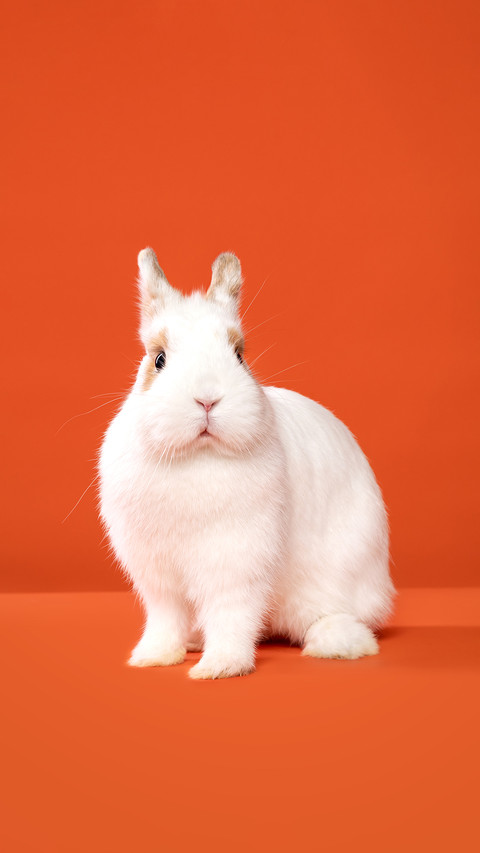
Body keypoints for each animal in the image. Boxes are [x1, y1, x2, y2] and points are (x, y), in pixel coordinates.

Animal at [99, 248, 395, 679]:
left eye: (239, 356)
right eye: (159, 359)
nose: (207, 398)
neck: (198, 456)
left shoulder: (236, 565)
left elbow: (231, 616)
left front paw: (219, 667)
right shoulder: (158, 578)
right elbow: (165, 619)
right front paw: (153, 657)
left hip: (338, 580)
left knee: (338, 618)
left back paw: (336, 645)